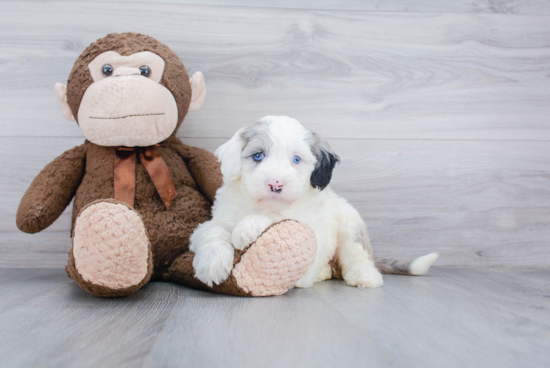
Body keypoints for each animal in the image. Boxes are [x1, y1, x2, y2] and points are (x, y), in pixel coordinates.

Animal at [190, 116, 440, 288]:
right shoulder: (211, 223)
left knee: (357, 255)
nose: (275, 184)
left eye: (296, 159)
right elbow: (214, 232)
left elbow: (281, 221)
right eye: (258, 156)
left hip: (350, 228)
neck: (266, 205)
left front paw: (248, 227)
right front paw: (211, 265)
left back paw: (364, 276)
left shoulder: (308, 231)